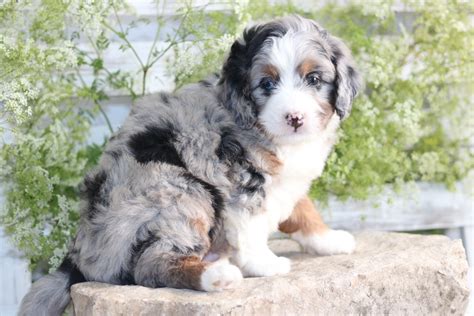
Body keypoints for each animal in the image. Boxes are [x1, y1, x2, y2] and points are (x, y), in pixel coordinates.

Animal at [17, 14, 360, 316]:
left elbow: (302, 209)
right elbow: (250, 225)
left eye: (314, 79)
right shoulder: (240, 178)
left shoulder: (286, 180)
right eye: (266, 83)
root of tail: (78, 258)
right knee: (151, 264)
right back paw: (216, 275)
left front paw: (327, 239)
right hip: (180, 193)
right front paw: (264, 263)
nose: (294, 118)